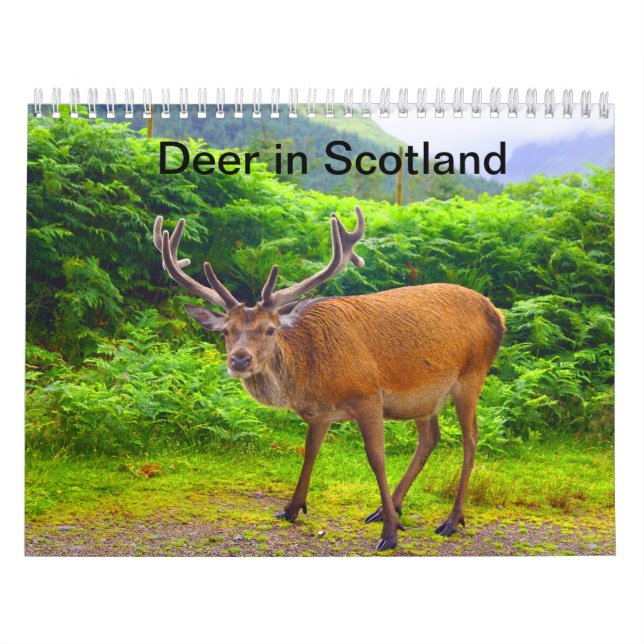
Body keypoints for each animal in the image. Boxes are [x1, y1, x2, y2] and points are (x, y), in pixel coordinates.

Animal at [152, 206, 505, 552]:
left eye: (270, 329)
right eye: (226, 331)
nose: (239, 359)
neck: (313, 376)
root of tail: (497, 314)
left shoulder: (367, 395)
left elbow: (376, 459)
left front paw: (390, 535)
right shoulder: (321, 414)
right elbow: (310, 452)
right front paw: (290, 509)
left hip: (472, 375)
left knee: (471, 438)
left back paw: (450, 520)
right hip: (425, 398)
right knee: (431, 437)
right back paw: (388, 508)